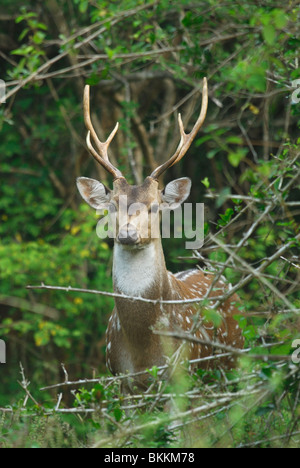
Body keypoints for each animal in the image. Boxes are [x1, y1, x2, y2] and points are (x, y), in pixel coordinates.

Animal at [76, 80, 245, 392]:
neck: (143, 351)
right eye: (112, 205)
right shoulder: (120, 379)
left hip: (234, 362)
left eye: (154, 207)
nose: (127, 234)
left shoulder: (184, 376)